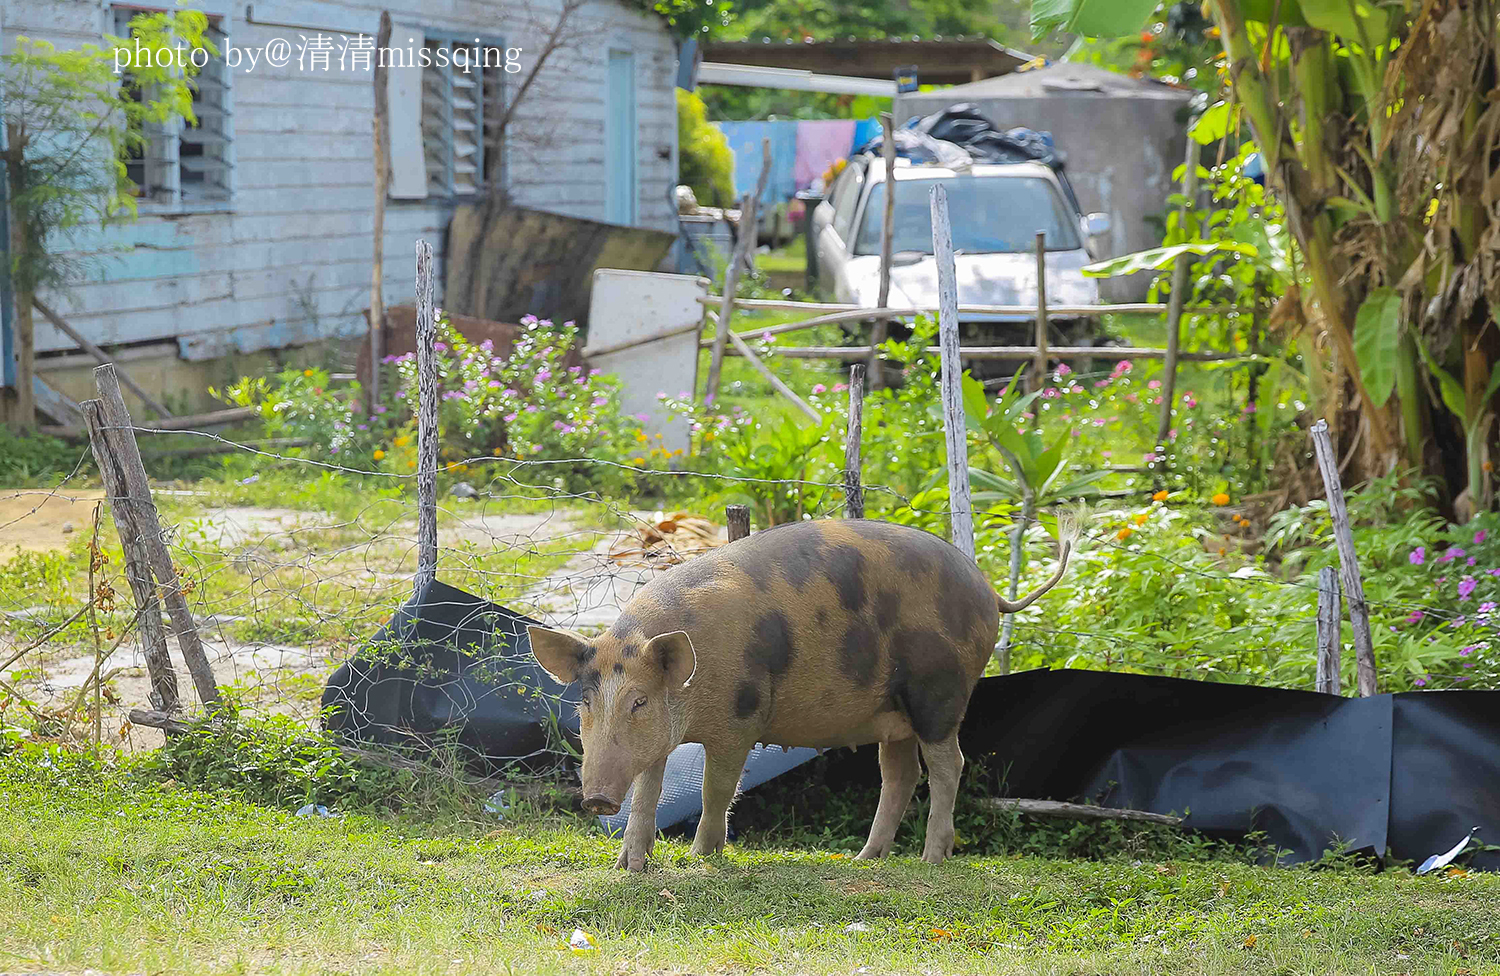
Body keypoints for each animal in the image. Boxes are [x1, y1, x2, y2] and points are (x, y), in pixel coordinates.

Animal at [528, 518, 1068, 869]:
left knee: (948, 765)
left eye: (639, 701)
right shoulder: (662, 740)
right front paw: (628, 867)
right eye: (584, 702)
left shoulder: (740, 720)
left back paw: (930, 861)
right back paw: (866, 859)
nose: (597, 799)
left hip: (939, 693)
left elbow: (715, 789)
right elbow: (648, 793)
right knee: (900, 775)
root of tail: (990, 591)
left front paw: (702, 857)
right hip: (893, 714)